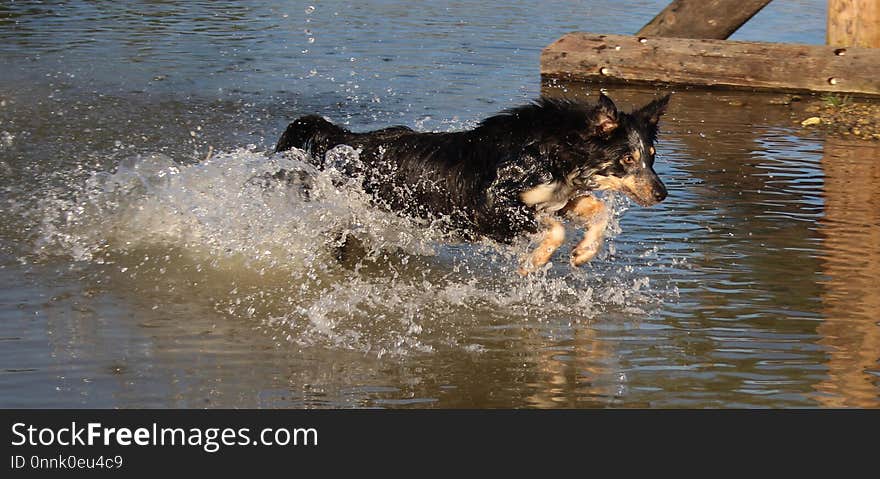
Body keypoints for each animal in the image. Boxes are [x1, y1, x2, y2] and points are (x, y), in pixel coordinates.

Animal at [272, 94, 672, 274]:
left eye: (651, 154)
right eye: (627, 158)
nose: (662, 193)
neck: (553, 149)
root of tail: (355, 141)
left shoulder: (555, 199)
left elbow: (595, 208)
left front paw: (585, 251)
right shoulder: (492, 205)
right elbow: (555, 229)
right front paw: (533, 261)